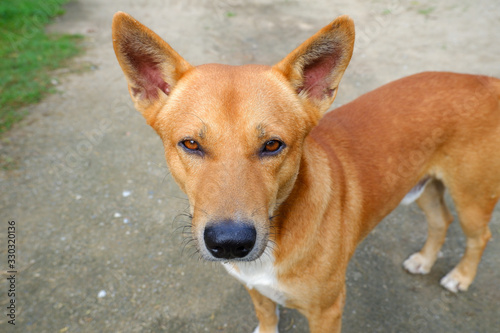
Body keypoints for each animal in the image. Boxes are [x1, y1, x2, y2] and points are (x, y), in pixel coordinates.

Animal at [113, 11, 500, 330]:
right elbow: (266, 314)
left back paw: (461, 276)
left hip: (472, 197)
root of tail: (485, 80)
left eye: (273, 145)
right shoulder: (254, 287)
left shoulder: (328, 310)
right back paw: (425, 260)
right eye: (191, 144)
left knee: (479, 236)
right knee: (440, 220)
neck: (278, 235)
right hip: (422, 186)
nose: (230, 243)